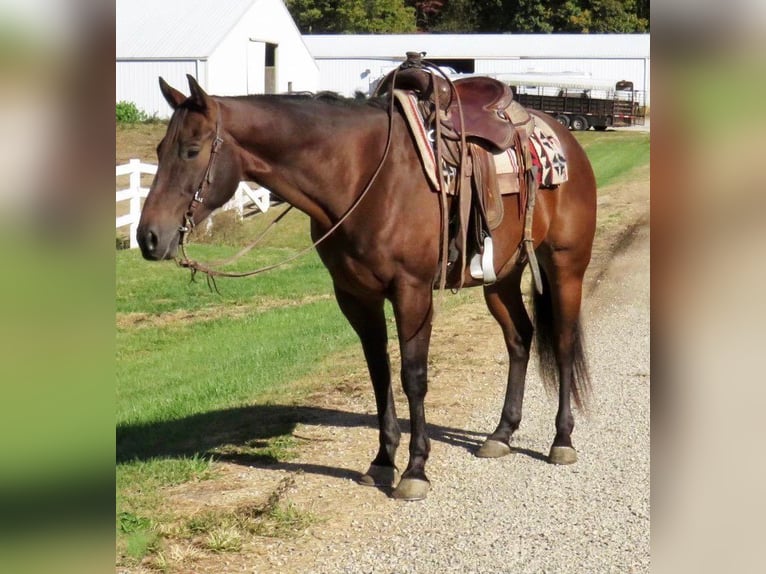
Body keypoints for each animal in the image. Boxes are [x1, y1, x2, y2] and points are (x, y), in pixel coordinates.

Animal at [136, 74, 600, 502]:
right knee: (519, 338)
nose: (148, 237)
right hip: (500, 277)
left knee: (562, 342)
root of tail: (563, 136)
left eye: (191, 150)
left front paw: (415, 469)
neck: (361, 174)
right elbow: (379, 373)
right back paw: (502, 434)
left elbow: (413, 376)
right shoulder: (355, 296)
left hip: (565, 266)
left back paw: (562, 440)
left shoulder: (412, 292)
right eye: (158, 151)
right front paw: (382, 461)